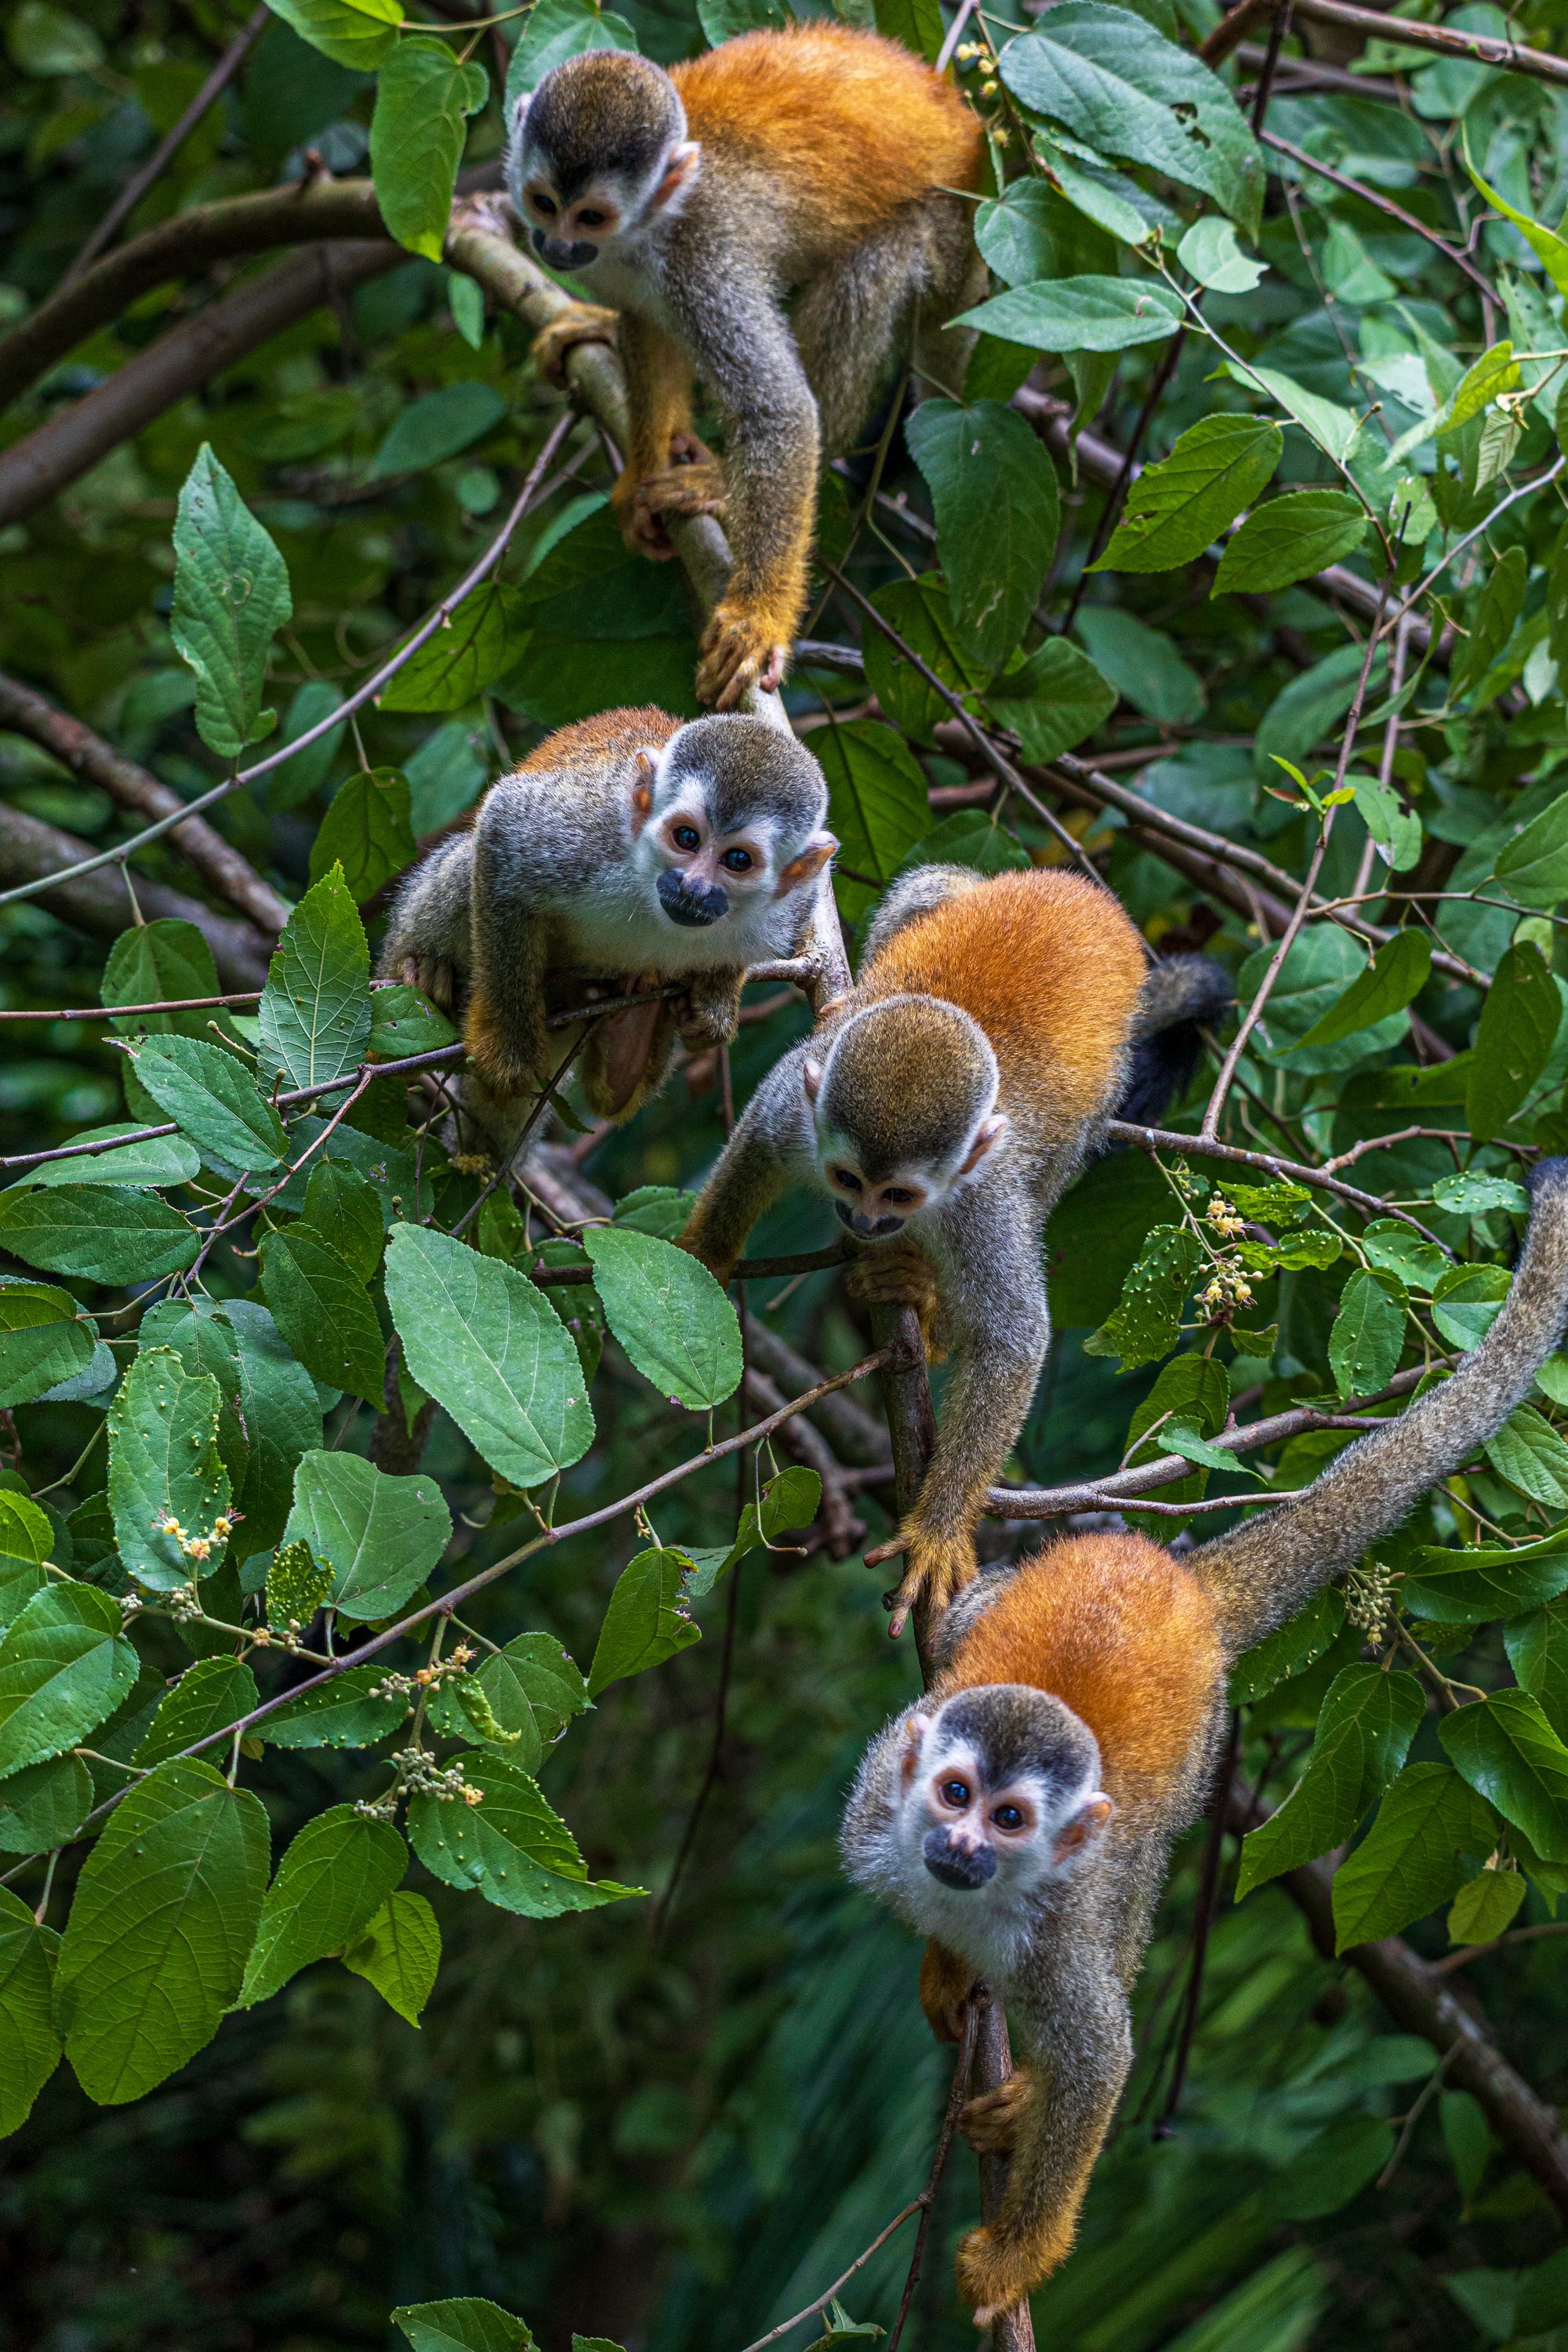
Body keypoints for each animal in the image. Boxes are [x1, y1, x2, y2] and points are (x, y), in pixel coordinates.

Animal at [378, 705, 838, 1127]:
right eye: (687, 837)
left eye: (738, 860)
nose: (693, 888)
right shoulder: (589, 837)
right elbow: (503, 828)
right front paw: (507, 1050)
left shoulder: (796, 903)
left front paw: (716, 1001)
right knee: (466, 863)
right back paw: (423, 976)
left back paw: (630, 1035)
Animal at [504, 28, 986, 707]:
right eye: (544, 203)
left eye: (591, 216)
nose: (555, 247)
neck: (649, 227)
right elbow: (647, 325)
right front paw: (642, 472)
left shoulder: (701, 258)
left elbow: (780, 409)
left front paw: (757, 619)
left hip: (952, 235)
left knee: (873, 265)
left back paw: (731, 479)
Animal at [680, 862, 1227, 1631]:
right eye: (847, 1179)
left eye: (899, 1195)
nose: (862, 1221)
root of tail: (1085, 893)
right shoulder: (798, 1113)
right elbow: (755, 1144)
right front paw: (703, 1253)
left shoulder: (982, 1199)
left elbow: (1014, 1337)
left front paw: (938, 1531)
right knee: (930, 889)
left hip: (1108, 1068)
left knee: (1063, 1151)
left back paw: (923, 1307)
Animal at [840, 1155, 1568, 2323]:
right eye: (952, 1796)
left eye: (1009, 1819)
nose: (957, 1847)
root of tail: (1181, 1585)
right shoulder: (871, 1809)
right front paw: (946, 1966)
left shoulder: (1058, 1921)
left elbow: (1101, 2062)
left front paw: (1018, 2252)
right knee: (960, 1631)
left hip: (1195, 1745)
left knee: (1140, 1860)